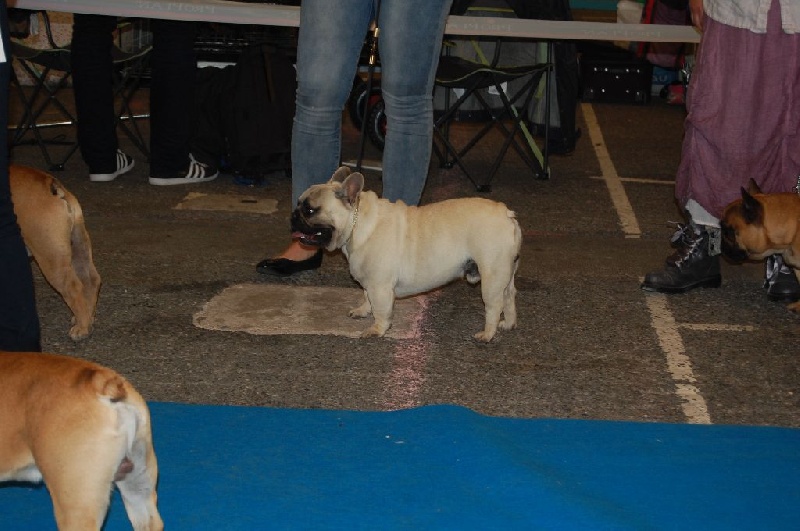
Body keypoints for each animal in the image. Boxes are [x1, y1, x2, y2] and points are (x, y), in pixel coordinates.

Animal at [10, 165, 101, 340]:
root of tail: (49, 183)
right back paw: (88, 318)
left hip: (51, 256)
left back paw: (82, 328)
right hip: (78, 247)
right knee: (91, 280)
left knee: (73, 287)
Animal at [291, 166, 521, 341]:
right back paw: (509, 324)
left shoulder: (380, 286)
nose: (293, 215)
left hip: (491, 277)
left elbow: (381, 310)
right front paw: (363, 311)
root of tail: (507, 214)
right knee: (509, 296)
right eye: (299, 204)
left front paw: (377, 329)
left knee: (494, 305)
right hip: (506, 274)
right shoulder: (370, 282)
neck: (357, 224)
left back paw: (487, 334)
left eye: (310, 210)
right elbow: (366, 297)